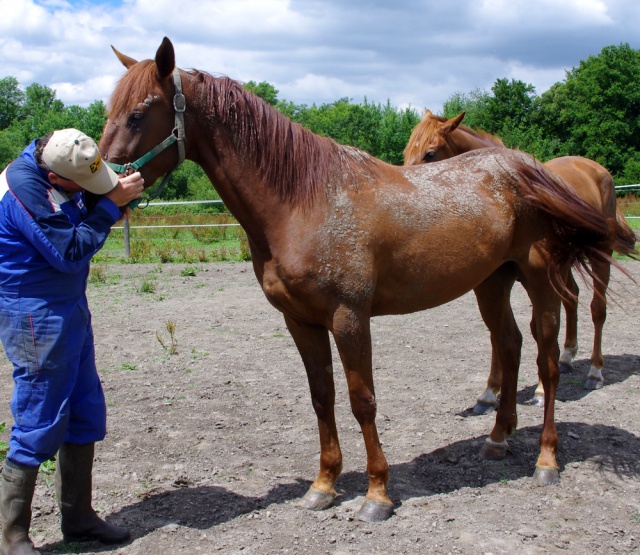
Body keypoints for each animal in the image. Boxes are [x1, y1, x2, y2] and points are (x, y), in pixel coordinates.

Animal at [402, 109, 636, 412]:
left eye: (429, 154)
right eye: (407, 151)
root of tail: (597, 170)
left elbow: (537, 328)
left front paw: (540, 390)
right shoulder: (493, 281)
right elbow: (497, 334)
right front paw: (489, 393)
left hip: (600, 257)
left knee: (598, 309)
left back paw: (595, 372)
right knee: (572, 298)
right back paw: (567, 356)